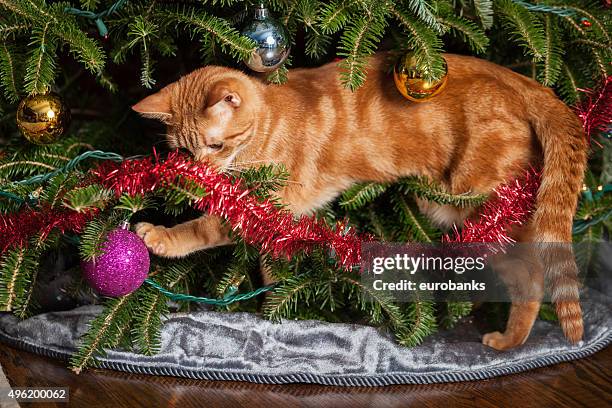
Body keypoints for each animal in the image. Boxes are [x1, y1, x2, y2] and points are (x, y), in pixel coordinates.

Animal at [131, 53, 584, 350]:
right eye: (184, 151)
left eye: (216, 145)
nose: (202, 174)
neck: (270, 119)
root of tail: (522, 83)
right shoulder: (274, 222)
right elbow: (274, 268)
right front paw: (276, 311)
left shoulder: (260, 205)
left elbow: (203, 227)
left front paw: (161, 237)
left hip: (472, 212)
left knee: (532, 275)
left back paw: (509, 341)